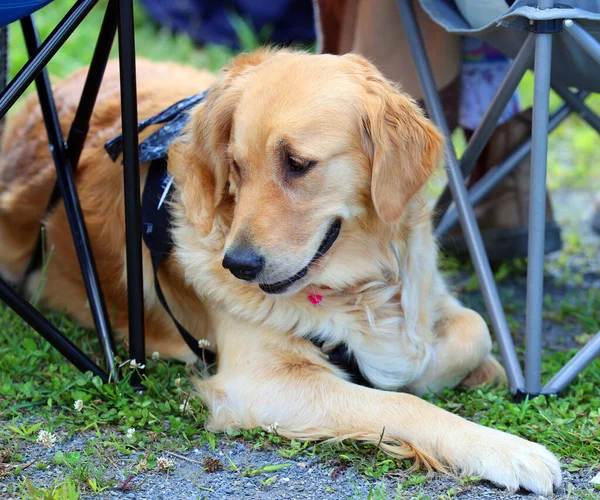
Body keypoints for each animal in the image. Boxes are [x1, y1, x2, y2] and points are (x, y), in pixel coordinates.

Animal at [1, 48, 564, 494]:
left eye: (297, 163)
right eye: (236, 166)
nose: (237, 265)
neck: (357, 284)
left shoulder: (425, 288)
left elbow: (475, 329)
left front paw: (465, 370)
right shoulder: (259, 383)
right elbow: (403, 403)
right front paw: (508, 449)